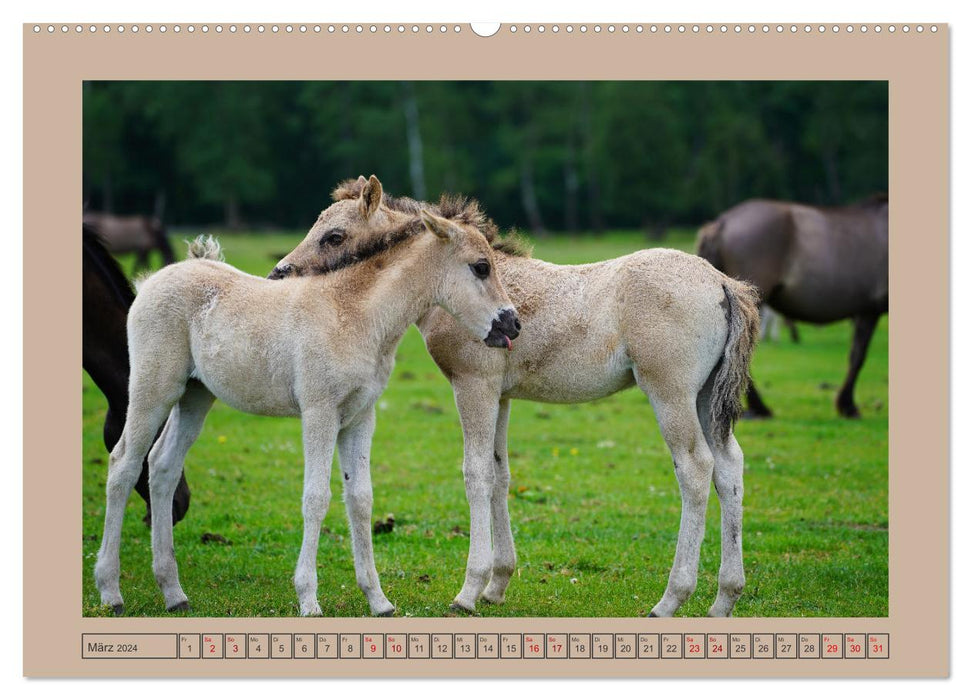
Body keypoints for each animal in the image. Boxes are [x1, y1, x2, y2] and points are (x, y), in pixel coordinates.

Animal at [97, 182, 524, 616]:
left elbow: (360, 499)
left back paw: (173, 592)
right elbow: (316, 498)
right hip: (153, 389)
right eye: (480, 267)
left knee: (162, 466)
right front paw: (308, 599)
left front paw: (378, 600)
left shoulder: (360, 416)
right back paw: (111, 591)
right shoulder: (320, 411)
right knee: (124, 464)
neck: (355, 314)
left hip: (195, 396)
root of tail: (155, 279)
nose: (512, 323)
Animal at [272, 176, 760, 616]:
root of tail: (721, 282)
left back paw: (670, 600)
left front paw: (469, 591)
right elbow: (500, 474)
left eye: (334, 236)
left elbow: (475, 474)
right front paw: (497, 584)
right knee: (729, 467)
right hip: (705, 398)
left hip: (670, 392)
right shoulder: (501, 395)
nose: (280, 274)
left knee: (695, 469)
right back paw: (724, 598)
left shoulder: (474, 384)